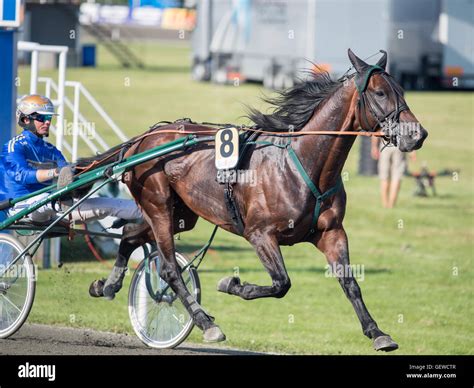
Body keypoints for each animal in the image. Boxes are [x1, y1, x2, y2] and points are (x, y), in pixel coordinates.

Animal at [77, 49, 426, 352]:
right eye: (380, 93)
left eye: (401, 90)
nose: (418, 134)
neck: (303, 163)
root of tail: (143, 140)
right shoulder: (260, 234)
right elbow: (281, 283)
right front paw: (231, 284)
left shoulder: (331, 233)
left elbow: (350, 282)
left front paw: (377, 333)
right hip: (159, 205)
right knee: (169, 270)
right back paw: (206, 323)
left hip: (182, 215)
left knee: (130, 234)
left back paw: (106, 285)